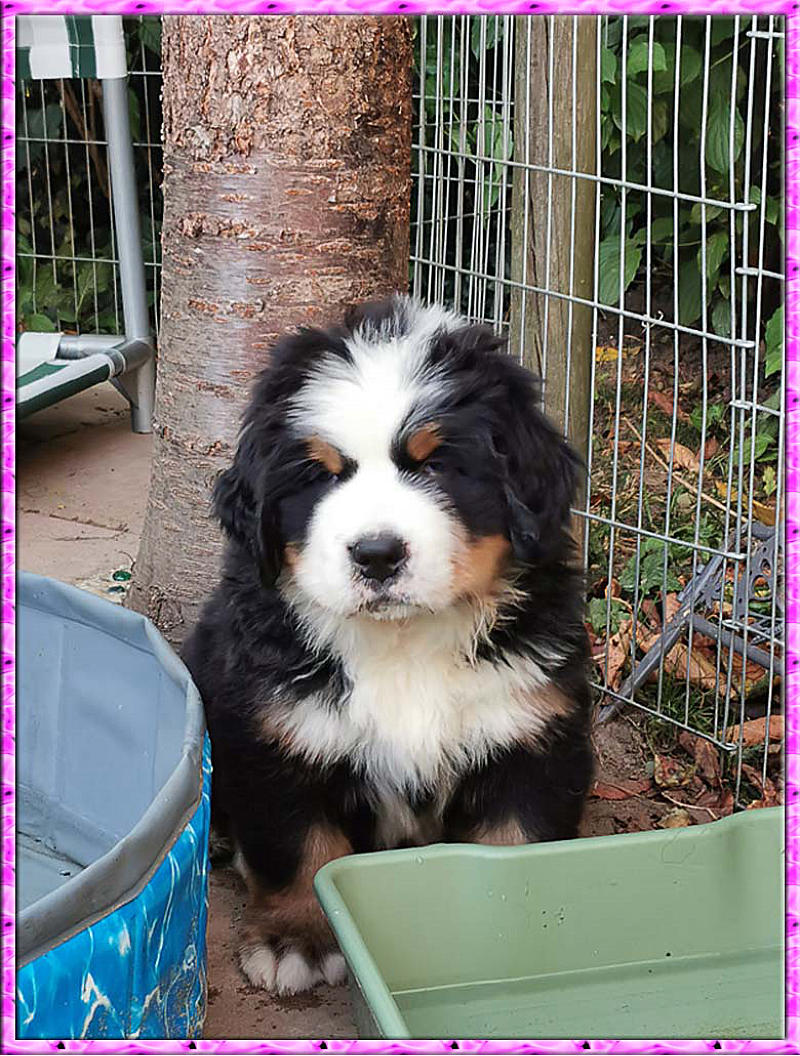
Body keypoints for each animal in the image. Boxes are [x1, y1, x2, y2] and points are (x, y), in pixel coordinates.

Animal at [183, 295, 593, 995]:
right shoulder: (274, 733)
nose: (376, 553)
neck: (403, 643)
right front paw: (295, 940)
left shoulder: (533, 737)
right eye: (319, 475)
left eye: (435, 464)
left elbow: (516, 847)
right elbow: (300, 848)